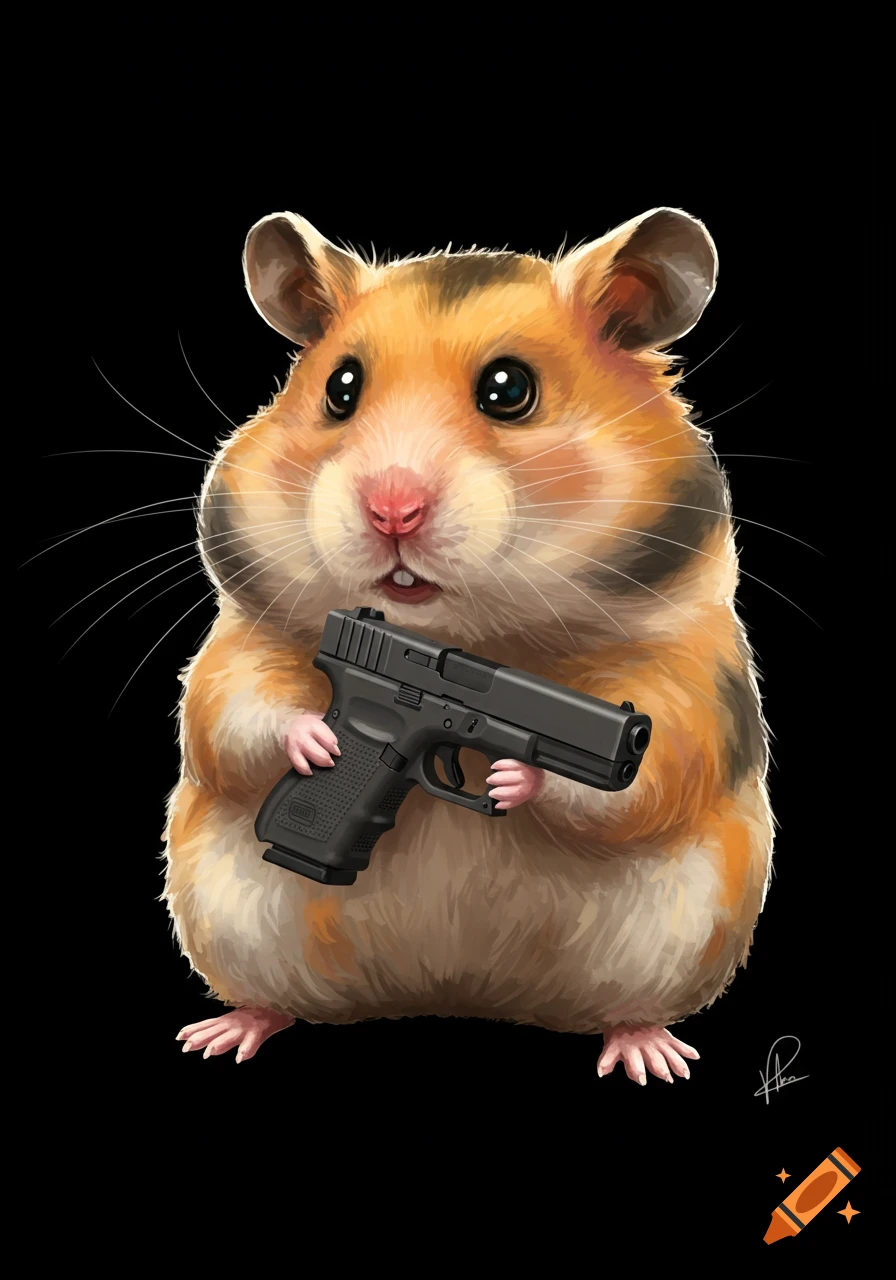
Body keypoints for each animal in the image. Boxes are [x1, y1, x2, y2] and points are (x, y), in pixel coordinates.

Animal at [166, 206, 772, 1082]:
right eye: (340, 388)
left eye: (508, 390)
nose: (393, 509)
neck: (462, 640)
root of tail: (454, 994)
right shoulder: (249, 644)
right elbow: (232, 708)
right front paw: (316, 742)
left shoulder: (696, 675)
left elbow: (657, 769)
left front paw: (515, 780)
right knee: (266, 990)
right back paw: (231, 1028)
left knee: (630, 1007)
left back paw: (649, 1051)